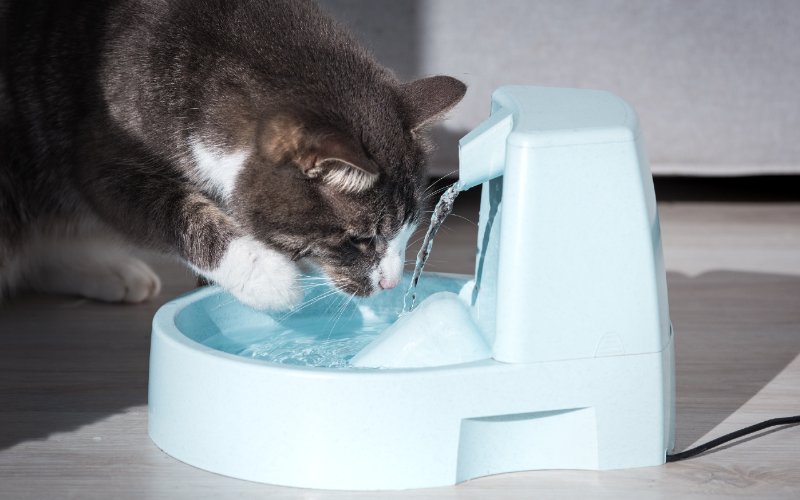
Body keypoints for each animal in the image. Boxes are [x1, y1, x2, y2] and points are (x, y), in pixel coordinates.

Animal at [0, 0, 466, 310]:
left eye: (409, 228)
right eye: (361, 239)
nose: (392, 284)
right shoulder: (99, 155)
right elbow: (171, 208)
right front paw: (269, 276)